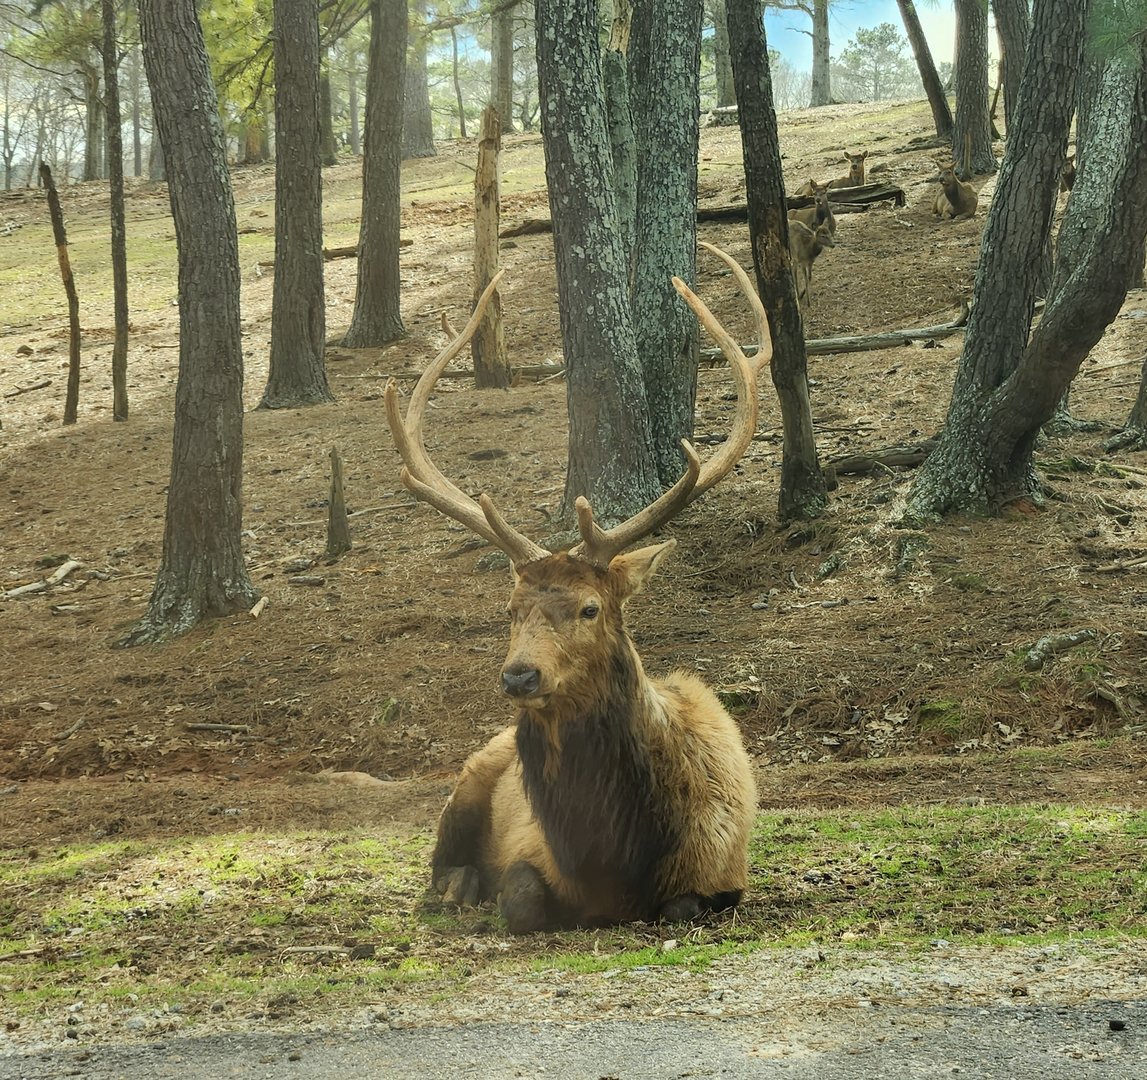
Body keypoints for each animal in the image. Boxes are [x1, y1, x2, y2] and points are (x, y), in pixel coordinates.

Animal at [384, 243, 766, 934]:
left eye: (591, 608)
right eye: (509, 609)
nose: (520, 675)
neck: (613, 854)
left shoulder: (724, 872)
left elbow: (682, 906)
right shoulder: (530, 852)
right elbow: (522, 897)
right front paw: (491, 894)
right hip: (468, 778)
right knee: (437, 864)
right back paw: (457, 887)